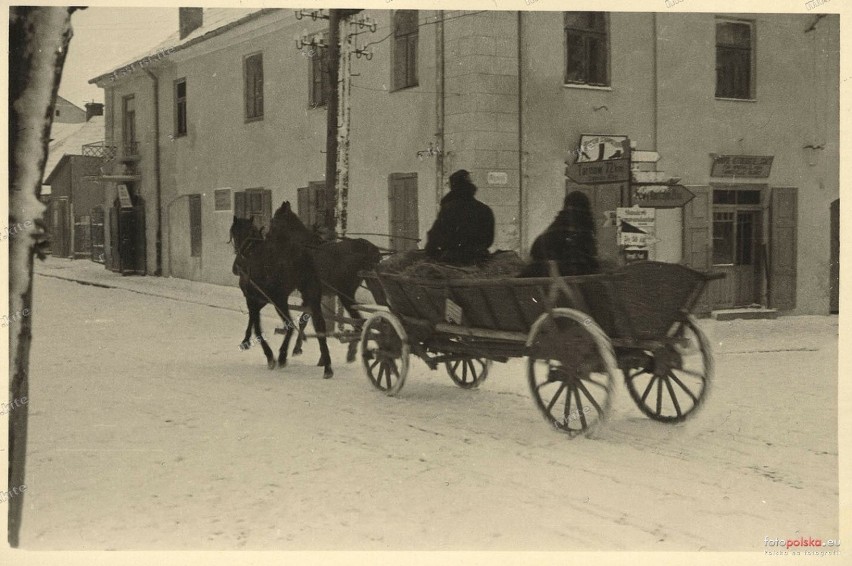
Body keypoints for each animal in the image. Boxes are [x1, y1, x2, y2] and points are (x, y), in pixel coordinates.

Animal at [230, 215, 332, 380]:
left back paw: (283, 356)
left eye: (234, 232)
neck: (251, 250)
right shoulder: (263, 300)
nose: (236, 266)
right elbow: (252, 320)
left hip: (280, 299)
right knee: (319, 325)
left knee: (290, 325)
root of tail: (301, 254)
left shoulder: (253, 298)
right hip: (310, 293)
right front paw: (246, 340)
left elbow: (257, 327)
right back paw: (327, 365)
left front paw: (269, 356)